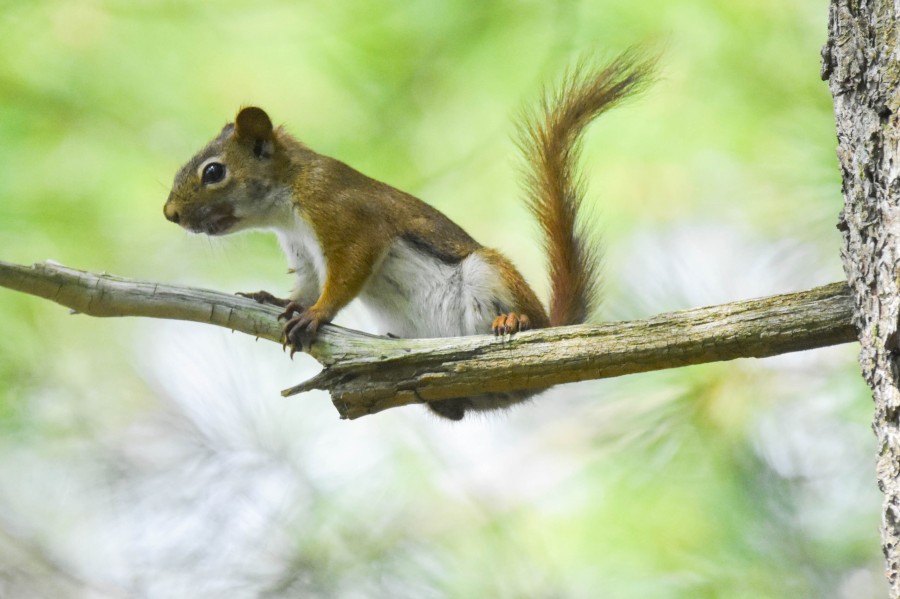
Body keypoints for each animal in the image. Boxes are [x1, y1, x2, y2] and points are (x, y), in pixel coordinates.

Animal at [163, 51, 654, 420]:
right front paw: (277, 301)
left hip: (488, 271)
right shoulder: (303, 253)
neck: (288, 200)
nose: (170, 214)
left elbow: (346, 273)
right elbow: (306, 284)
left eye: (214, 172)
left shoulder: (345, 217)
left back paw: (514, 321)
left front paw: (316, 315)